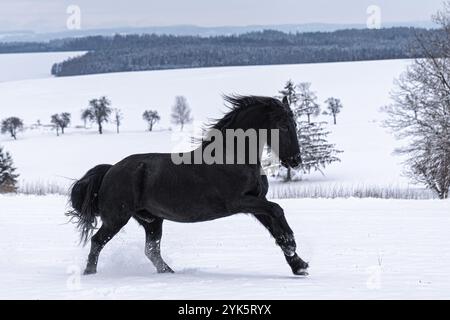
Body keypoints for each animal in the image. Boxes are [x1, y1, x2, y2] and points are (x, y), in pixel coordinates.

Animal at [67, 95, 310, 276]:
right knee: (97, 241)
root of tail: (110, 170)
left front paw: (298, 264)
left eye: (295, 123)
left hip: (152, 220)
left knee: (151, 250)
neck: (234, 157)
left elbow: (275, 227)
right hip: (117, 218)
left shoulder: (257, 202)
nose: (295, 161)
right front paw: (292, 244)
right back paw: (90, 273)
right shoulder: (239, 202)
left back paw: (169, 273)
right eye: (283, 126)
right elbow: (278, 210)